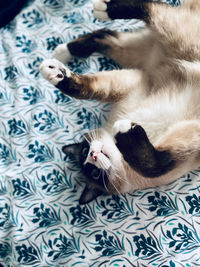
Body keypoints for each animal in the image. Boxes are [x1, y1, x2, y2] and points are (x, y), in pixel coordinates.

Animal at [39, 0, 200, 205]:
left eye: (84, 151)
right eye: (94, 172)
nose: (93, 155)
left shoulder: (130, 84)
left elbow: (85, 89)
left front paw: (57, 76)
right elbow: (154, 164)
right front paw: (125, 132)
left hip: (176, 39)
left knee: (149, 10)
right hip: (137, 52)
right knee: (107, 36)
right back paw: (63, 51)